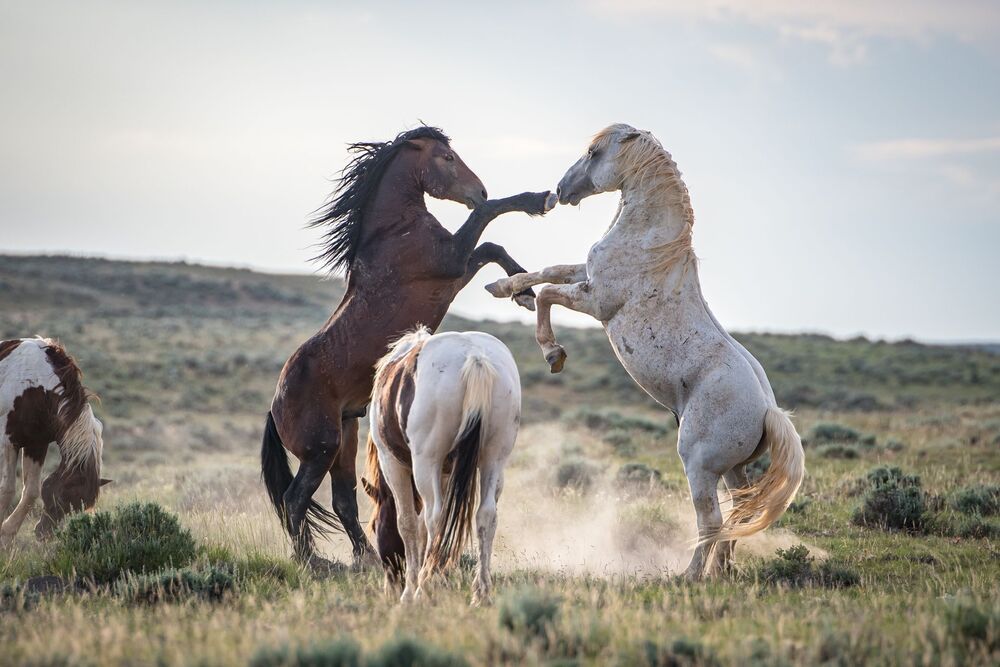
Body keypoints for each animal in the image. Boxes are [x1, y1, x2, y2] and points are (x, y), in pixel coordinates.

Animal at [0, 338, 111, 547]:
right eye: (62, 496)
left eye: (79, 506)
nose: (45, 534)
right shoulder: (7, 442)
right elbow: (7, 489)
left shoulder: (36, 444)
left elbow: (31, 491)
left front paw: (7, 534)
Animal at [261, 126, 552, 567]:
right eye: (447, 158)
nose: (479, 190)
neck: (394, 232)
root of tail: (275, 405)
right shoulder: (452, 261)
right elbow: (488, 222)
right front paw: (538, 203)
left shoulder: (456, 267)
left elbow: (491, 246)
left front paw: (522, 290)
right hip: (321, 450)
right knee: (295, 500)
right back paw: (312, 561)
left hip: (344, 439)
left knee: (343, 500)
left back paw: (364, 558)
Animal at [361, 328, 520, 605]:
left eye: (374, 526)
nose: (390, 585)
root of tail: (475, 356)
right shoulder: (447, 473)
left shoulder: (393, 464)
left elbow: (409, 524)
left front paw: (409, 591)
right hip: (494, 460)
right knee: (485, 515)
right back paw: (481, 592)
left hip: (426, 462)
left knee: (436, 517)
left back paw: (425, 588)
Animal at [485, 124, 805, 580]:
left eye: (594, 152)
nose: (560, 191)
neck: (647, 243)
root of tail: (767, 410)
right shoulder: (585, 275)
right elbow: (548, 272)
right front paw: (503, 288)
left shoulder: (597, 301)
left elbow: (548, 293)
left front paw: (553, 353)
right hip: (734, 469)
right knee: (738, 513)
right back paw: (721, 570)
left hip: (699, 464)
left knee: (711, 520)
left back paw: (689, 576)